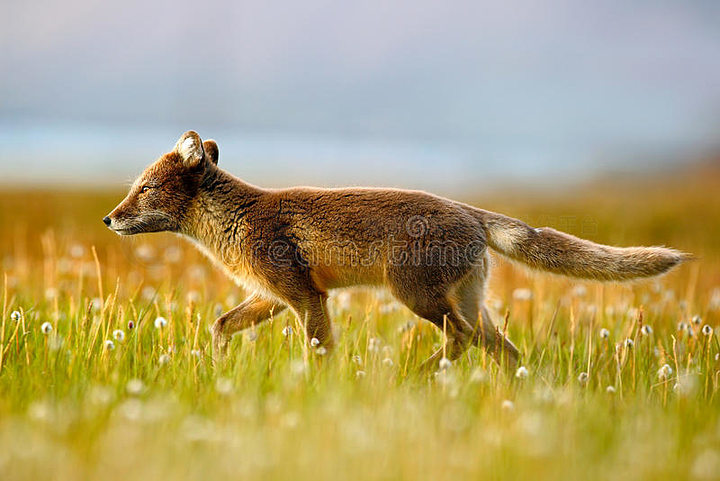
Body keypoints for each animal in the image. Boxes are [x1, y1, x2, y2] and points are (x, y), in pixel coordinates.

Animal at [104, 130, 688, 368]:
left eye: (145, 190)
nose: (109, 218)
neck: (236, 221)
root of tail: (472, 212)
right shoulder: (275, 296)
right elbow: (221, 325)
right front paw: (218, 367)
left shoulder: (306, 298)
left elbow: (320, 353)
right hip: (467, 304)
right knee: (505, 351)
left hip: (416, 297)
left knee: (463, 340)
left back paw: (418, 377)